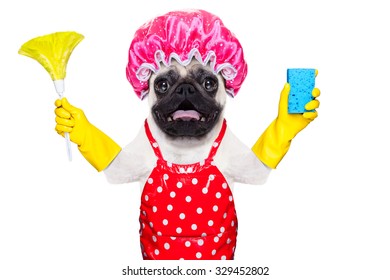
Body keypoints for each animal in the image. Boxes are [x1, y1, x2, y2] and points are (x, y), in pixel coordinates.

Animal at [53, 9, 320, 260]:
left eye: (209, 83)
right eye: (162, 85)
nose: (185, 88)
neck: (186, 151)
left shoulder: (244, 163)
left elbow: (260, 161)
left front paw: (290, 119)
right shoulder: (130, 162)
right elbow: (111, 160)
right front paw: (75, 125)